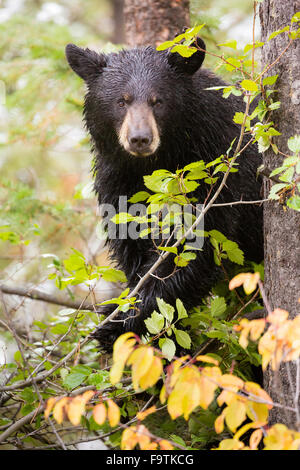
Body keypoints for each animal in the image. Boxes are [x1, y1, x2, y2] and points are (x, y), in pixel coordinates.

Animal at [65, 37, 262, 348]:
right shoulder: (119, 180)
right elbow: (131, 240)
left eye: (158, 101)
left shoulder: (216, 171)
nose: (139, 138)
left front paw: (120, 321)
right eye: (121, 101)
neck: (155, 162)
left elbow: (195, 246)